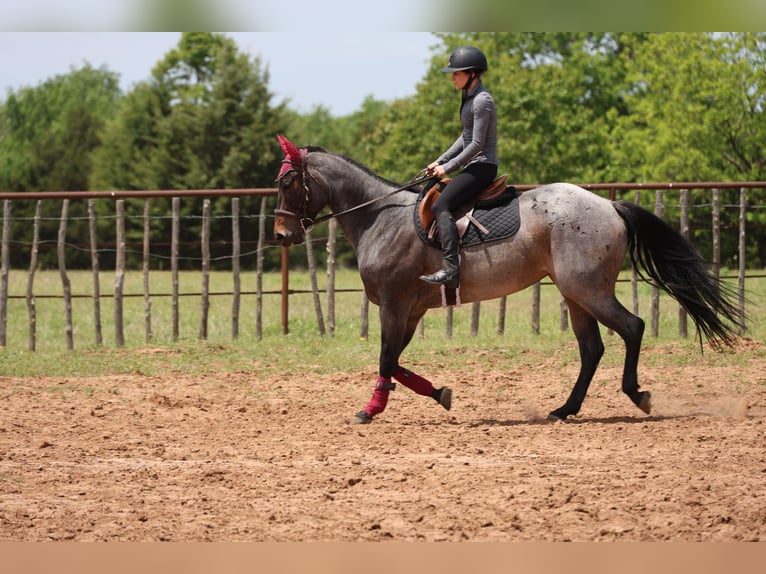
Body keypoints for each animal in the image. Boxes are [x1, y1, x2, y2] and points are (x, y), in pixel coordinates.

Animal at [272, 135, 742, 424]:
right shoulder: (411, 310)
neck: (379, 217)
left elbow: (387, 360)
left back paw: (636, 394)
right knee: (592, 348)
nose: (280, 234)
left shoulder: (394, 304)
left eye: (288, 181)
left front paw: (370, 409)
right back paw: (564, 409)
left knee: (632, 327)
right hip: (575, 295)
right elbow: (398, 361)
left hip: (587, 289)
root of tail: (608, 205)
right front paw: (439, 393)